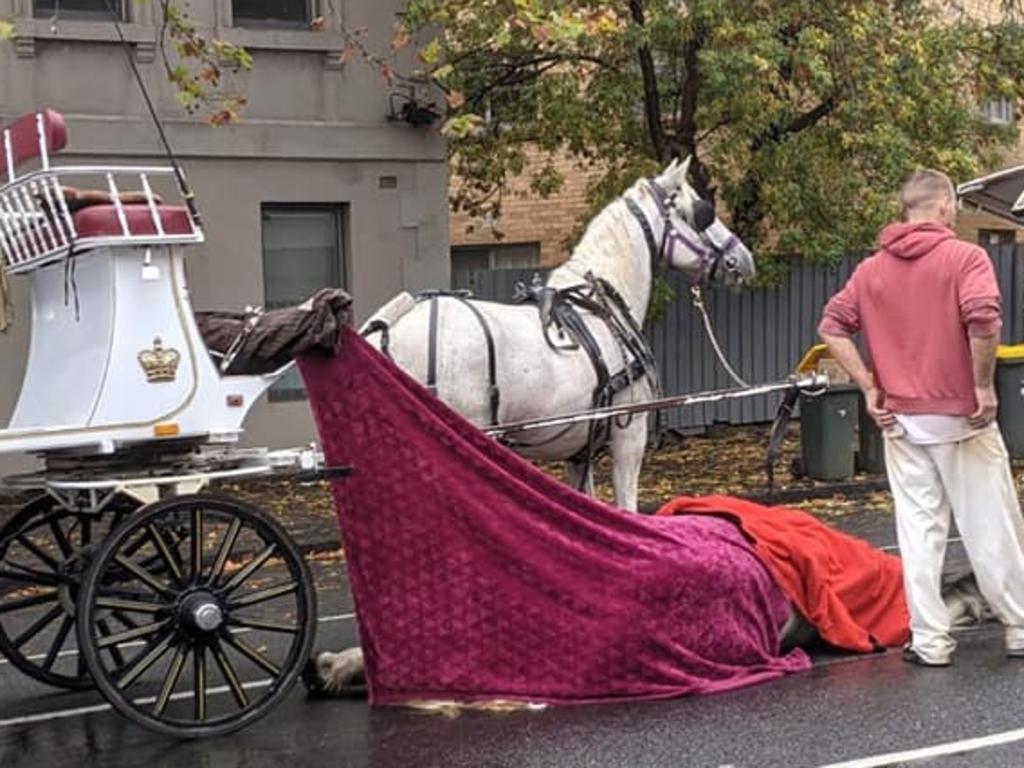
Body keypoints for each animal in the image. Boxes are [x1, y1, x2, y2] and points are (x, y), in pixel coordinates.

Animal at [360, 156, 753, 514]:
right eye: (700, 212)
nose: (743, 258)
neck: (600, 305)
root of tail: (387, 331)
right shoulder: (629, 437)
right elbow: (627, 509)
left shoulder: (579, 450)